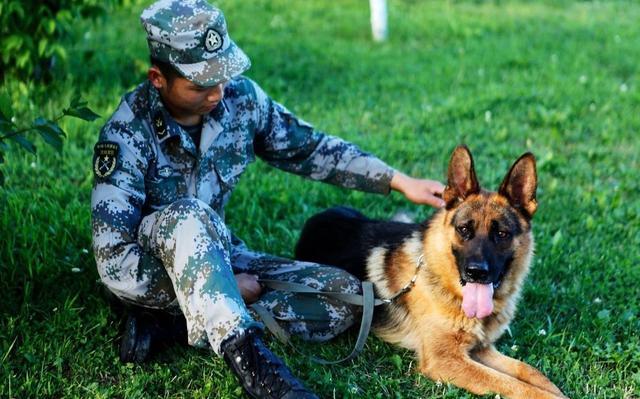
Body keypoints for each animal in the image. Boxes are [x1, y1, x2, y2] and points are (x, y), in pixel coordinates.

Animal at [294, 147, 564, 399]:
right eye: (464, 229)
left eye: (502, 234)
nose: (476, 273)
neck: (447, 285)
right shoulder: (446, 359)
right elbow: (514, 385)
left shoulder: (480, 349)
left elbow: (530, 372)